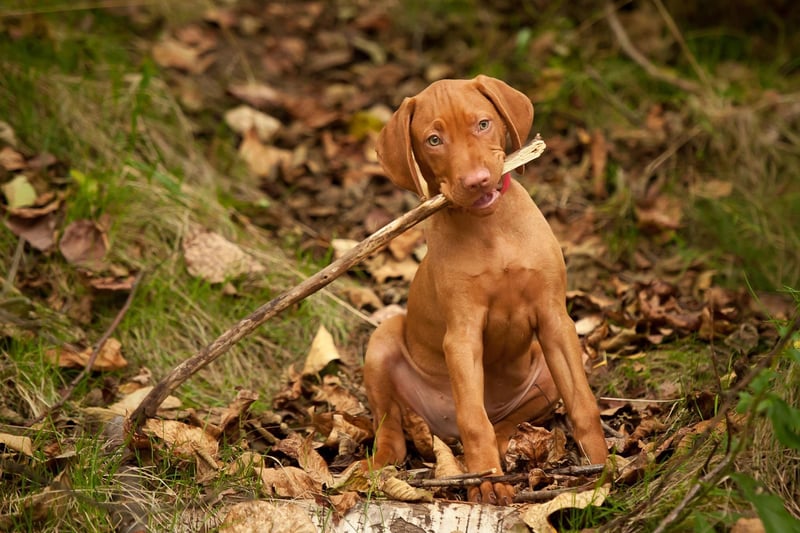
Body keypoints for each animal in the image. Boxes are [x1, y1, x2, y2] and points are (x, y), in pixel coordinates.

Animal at [362, 75, 608, 502]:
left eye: (482, 124)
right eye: (433, 140)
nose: (476, 181)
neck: (490, 228)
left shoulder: (555, 319)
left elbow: (583, 403)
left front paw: (607, 467)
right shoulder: (462, 336)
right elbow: (473, 420)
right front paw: (488, 480)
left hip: (546, 368)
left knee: (507, 421)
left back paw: (508, 440)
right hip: (384, 340)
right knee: (391, 419)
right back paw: (383, 462)